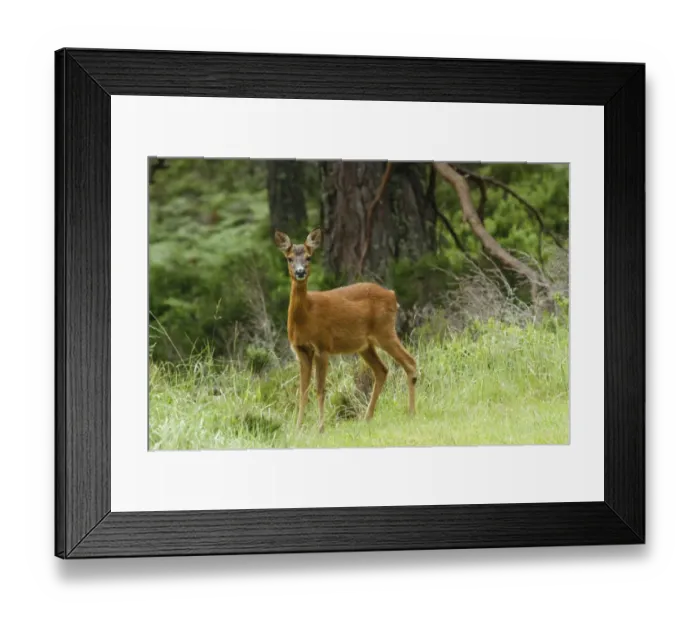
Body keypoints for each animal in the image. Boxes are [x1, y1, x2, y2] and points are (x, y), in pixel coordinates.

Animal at [275, 227, 418, 433]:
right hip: (365, 345)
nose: (300, 272)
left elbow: (320, 389)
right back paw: (367, 417)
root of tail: (392, 295)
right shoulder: (300, 350)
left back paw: (411, 412)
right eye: (289, 258)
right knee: (382, 370)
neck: (307, 315)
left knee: (410, 362)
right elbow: (303, 390)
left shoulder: (322, 345)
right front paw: (298, 427)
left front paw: (320, 427)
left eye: (309, 257)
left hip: (385, 331)